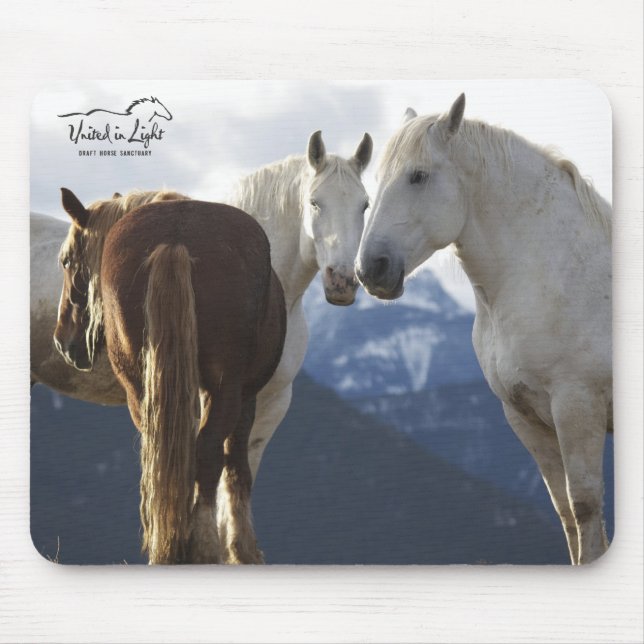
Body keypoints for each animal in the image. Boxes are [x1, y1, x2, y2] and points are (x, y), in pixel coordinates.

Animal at [53, 188, 286, 565]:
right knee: (206, 453)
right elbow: (236, 466)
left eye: (66, 261)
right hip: (225, 390)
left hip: (140, 388)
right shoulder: (244, 396)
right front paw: (242, 549)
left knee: (160, 456)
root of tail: (176, 238)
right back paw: (203, 546)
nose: (63, 341)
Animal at [356, 95, 612, 565]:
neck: (552, 270)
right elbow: (566, 513)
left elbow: (585, 505)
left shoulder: (578, 405)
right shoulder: (527, 418)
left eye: (418, 176)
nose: (370, 270)